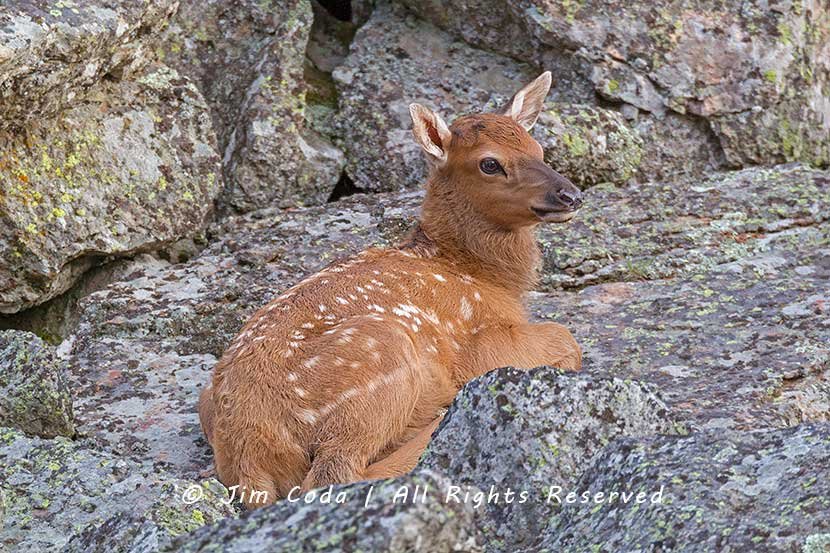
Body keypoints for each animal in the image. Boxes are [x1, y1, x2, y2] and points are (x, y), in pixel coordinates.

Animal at [198, 71, 584, 509]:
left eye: (538, 148)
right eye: (490, 163)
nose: (571, 194)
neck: (479, 273)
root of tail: (249, 451)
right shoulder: (479, 344)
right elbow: (566, 338)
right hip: (381, 354)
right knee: (333, 475)